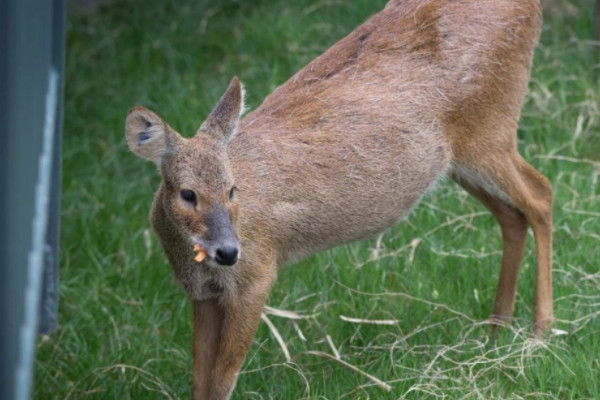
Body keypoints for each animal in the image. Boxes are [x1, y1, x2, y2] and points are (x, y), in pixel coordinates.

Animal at [124, 0, 552, 398]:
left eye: (232, 189)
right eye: (187, 193)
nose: (228, 251)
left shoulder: (257, 274)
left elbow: (221, 380)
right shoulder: (201, 293)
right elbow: (200, 381)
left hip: (491, 128)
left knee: (541, 194)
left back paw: (540, 331)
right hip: (459, 158)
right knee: (513, 214)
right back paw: (497, 329)